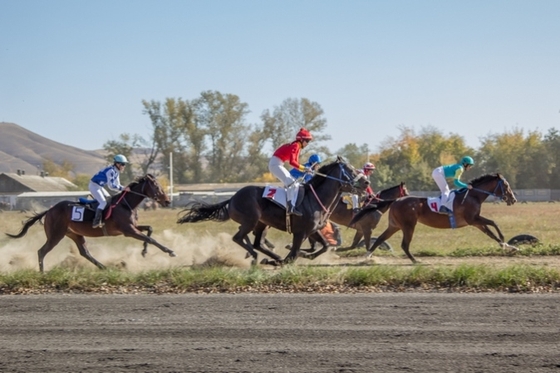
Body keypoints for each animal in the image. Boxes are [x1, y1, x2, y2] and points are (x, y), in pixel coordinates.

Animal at [5, 173, 176, 272]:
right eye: (156, 186)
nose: (167, 201)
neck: (125, 204)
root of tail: (50, 210)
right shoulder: (128, 231)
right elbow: (150, 238)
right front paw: (169, 251)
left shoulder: (131, 228)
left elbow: (150, 230)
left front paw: (144, 252)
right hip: (56, 235)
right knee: (42, 251)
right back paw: (42, 272)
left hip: (74, 234)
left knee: (84, 252)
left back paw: (104, 267)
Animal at [177, 157, 370, 264]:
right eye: (351, 170)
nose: (367, 182)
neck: (315, 198)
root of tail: (232, 198)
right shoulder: (300, 232)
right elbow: (292, 256)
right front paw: (284, 258)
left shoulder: (313, 230)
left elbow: (325, 246)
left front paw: (303, 255)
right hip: (251, 220)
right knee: (239, 237)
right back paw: (256, 256)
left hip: (262, 224)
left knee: (257, 242)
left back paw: (269, 255)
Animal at [352, 173, 520, 264]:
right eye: (506, 185)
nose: (513, 199)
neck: (473, 195)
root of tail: (396, 200)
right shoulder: (473, 219)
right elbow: (494, 223)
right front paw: (505, 242)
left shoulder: (475, 221)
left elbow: (490, 232)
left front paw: (509, 246)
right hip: (408, 225)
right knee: (404, 244)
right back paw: (415, 260)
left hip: (395, 225)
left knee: (381, 238)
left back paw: (367, 256)